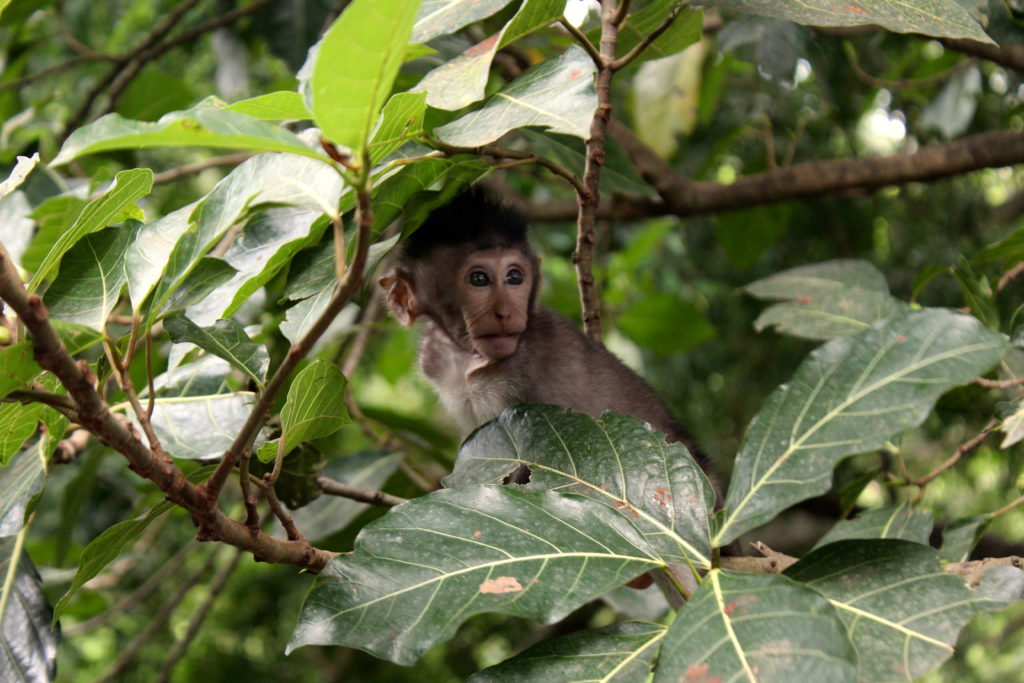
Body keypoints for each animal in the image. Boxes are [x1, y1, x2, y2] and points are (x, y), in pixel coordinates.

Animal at [377, 187, 708, 472]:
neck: (469, 361)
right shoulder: (434, 358)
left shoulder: (531, 377)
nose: (506, 312)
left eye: (514, 277)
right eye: (479, 279)